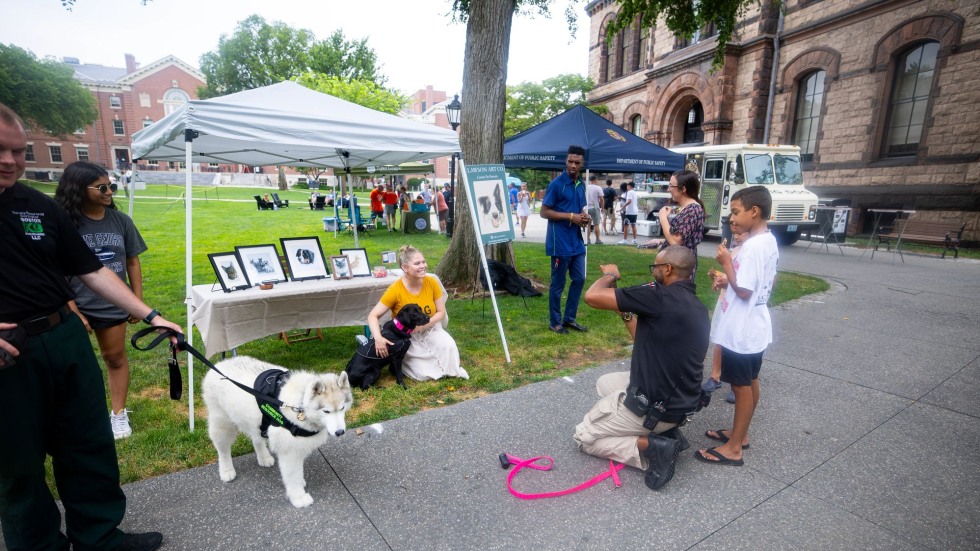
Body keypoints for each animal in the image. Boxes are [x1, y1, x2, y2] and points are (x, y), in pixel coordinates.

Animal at [201, 358, 354, 508]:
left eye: (342, 408)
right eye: (326, 411)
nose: (340, 432)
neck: (300, 405)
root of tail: (219, 364)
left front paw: (300, 483)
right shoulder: (289, 452)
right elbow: (293, 475)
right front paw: (298, 496)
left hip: (255, 422)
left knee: (256, 438)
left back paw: (264, 457)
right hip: (222, 424)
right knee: (223, 449)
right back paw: (226, 470)